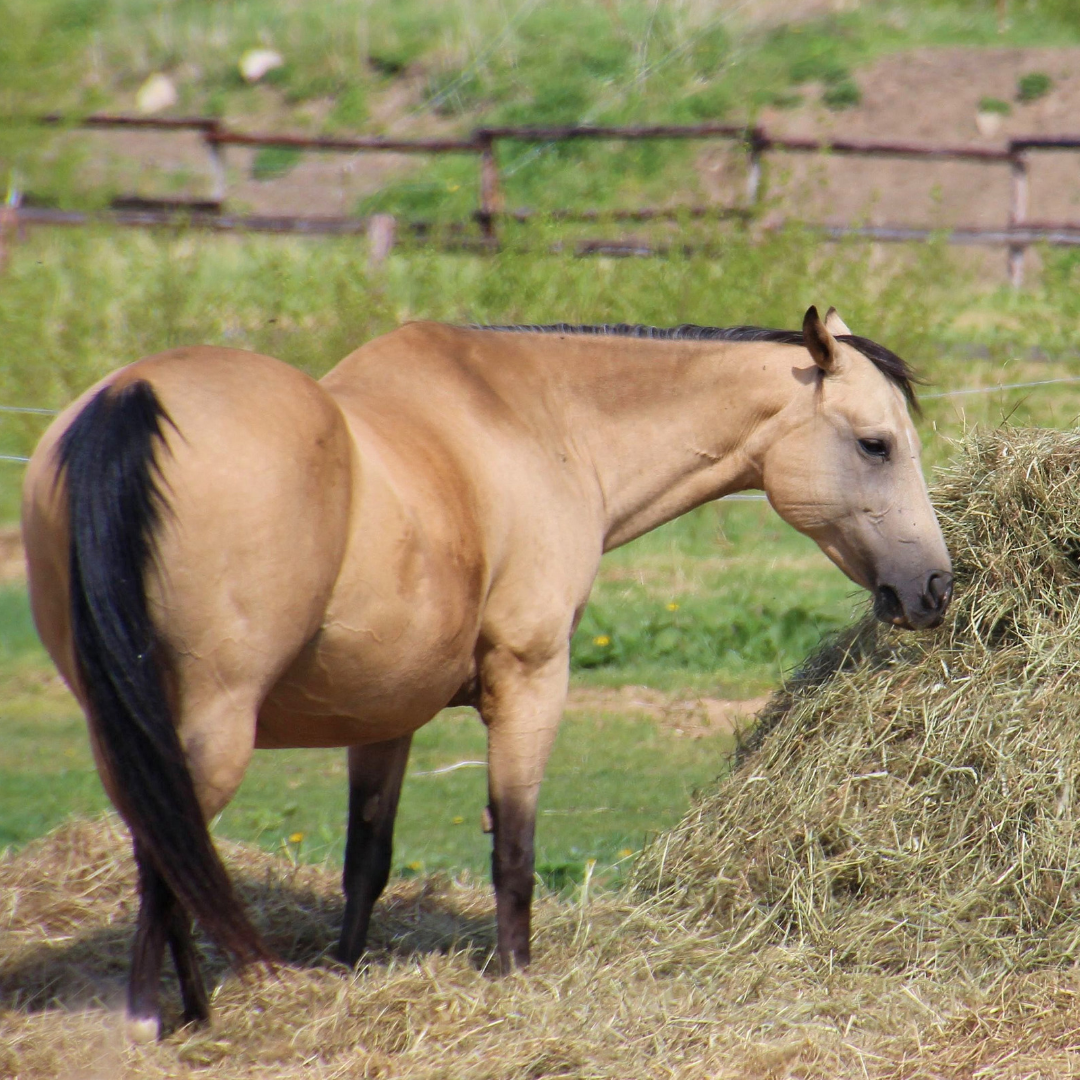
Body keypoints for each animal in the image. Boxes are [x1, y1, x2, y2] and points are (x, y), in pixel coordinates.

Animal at [21, 305, 952, 1040]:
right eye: (875, 445)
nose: (936, 587)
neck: (536, 425)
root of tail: (129, 401)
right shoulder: (530, 681)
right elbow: (515, 843)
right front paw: (514, 975)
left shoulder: (384, 718)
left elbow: (367, 859)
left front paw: (349, 973)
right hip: (212, 732)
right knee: (165, 857)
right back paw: (149, 1019)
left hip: (132, 732)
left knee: (170, 852)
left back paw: (194, 1008)